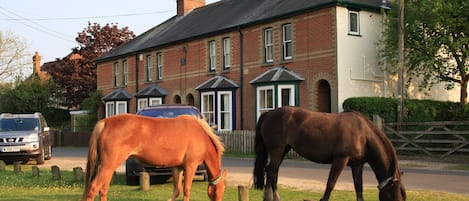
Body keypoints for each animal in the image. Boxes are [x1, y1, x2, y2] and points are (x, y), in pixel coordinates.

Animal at [81, 114, 227, 200]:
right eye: (223, 188)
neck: (200, 135)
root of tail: (105, 122)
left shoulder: (177, 167)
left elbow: (177, 191)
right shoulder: (191, 165)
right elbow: (186, 190)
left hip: (109, 167)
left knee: (103, 189)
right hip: (108, 166)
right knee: (93, 188)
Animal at [254, 106, 404, 200]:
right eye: (398, 193)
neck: (362, 134)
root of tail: (269, 113)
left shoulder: (357, 165)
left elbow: (359, 188)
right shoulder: (340, 159)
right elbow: (330, 183)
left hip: (283, 149)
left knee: (270, 170)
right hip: (277, 149)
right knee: (272, 171)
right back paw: (276, 198)